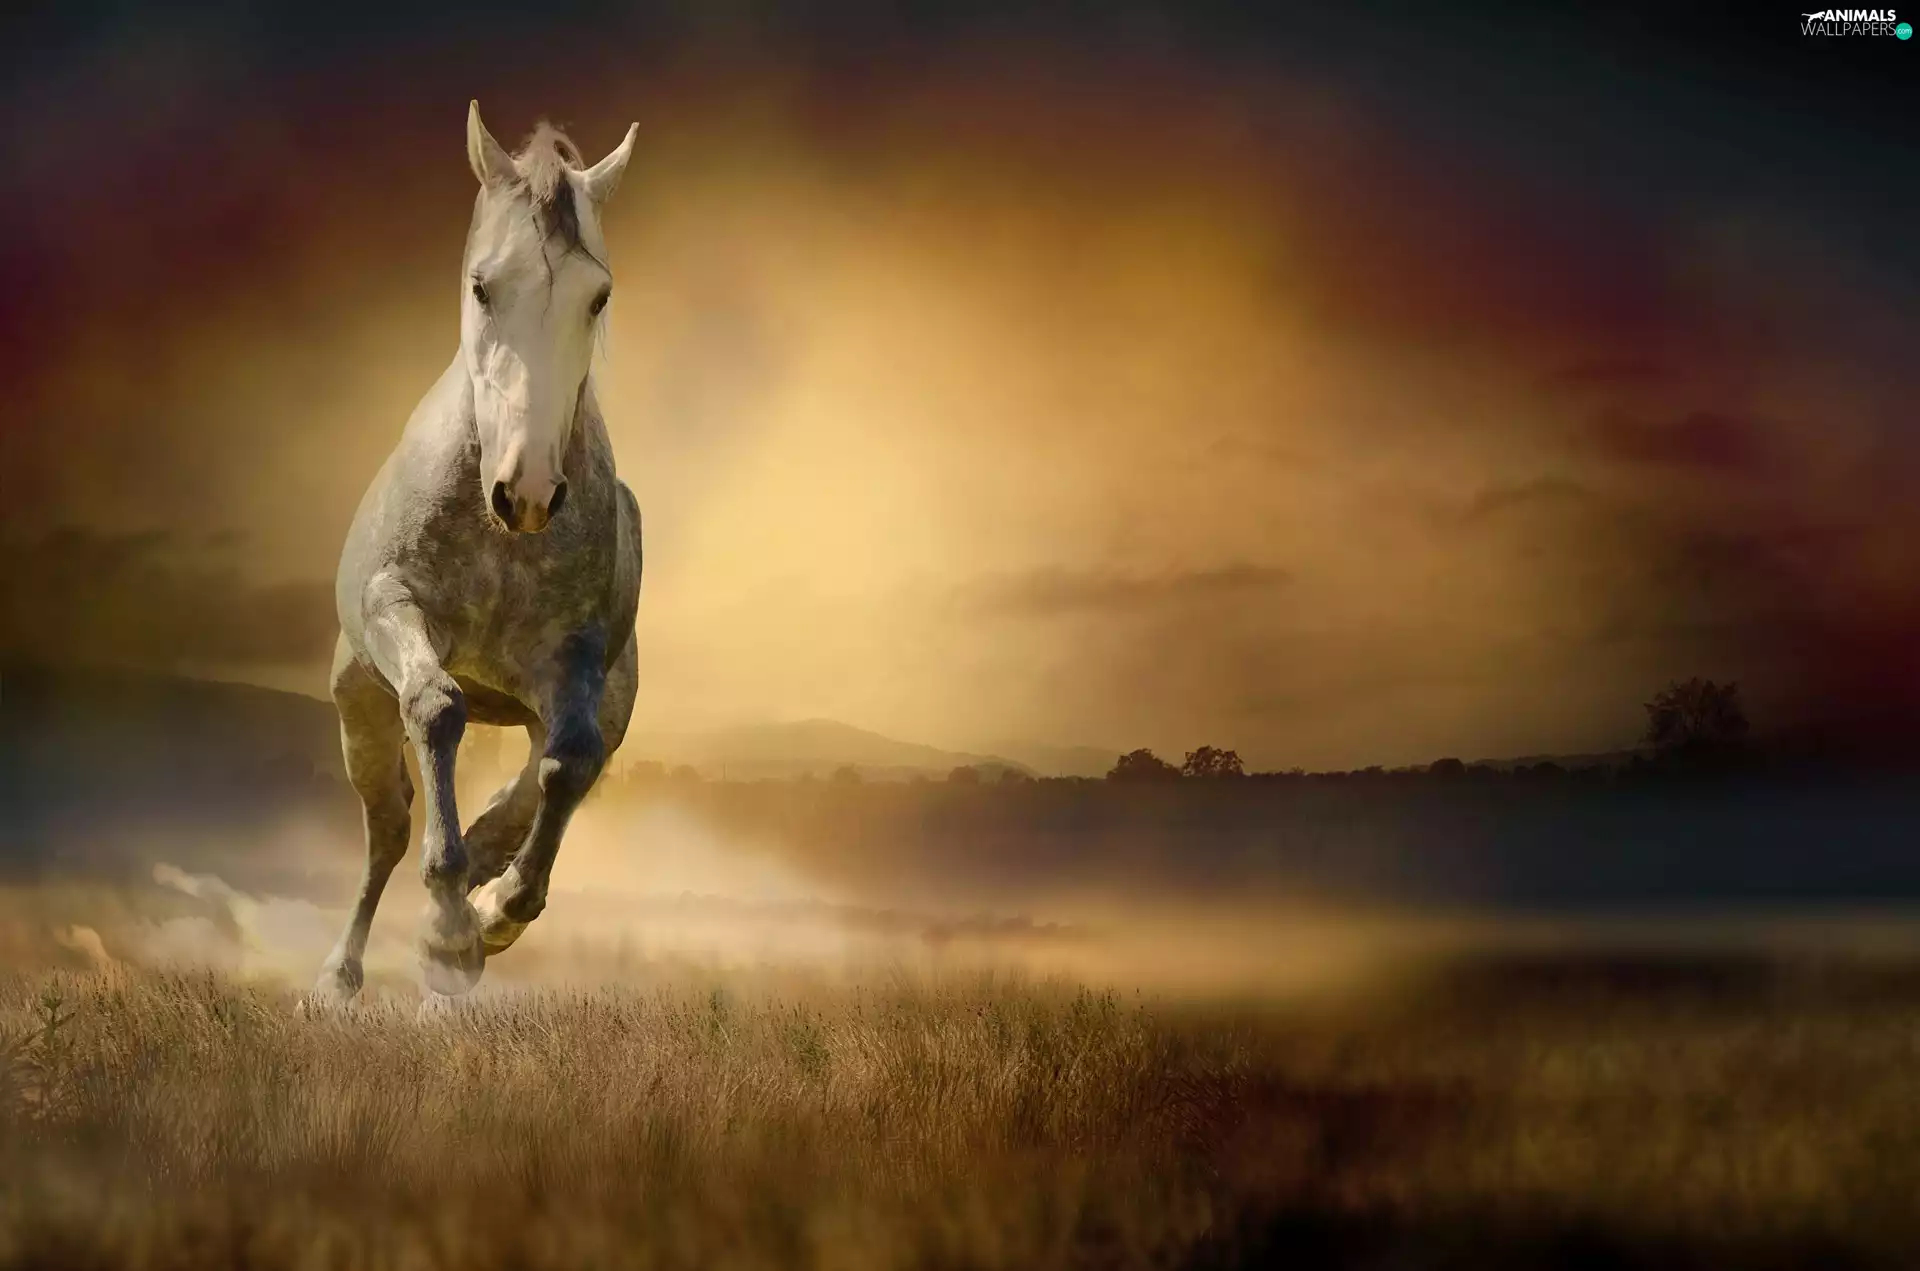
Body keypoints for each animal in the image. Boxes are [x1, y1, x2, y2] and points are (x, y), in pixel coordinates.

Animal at [314, 103, 644, 1003]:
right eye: (482, 286)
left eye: (598, 295)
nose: (524, 492)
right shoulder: (398, 610)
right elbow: (437, 708)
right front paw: (448, 929)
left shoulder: (574, 661)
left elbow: (569, 762)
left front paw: (493, 913)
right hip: (359, 710)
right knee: (388, 831)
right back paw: (340, 975)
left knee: (538, 783)